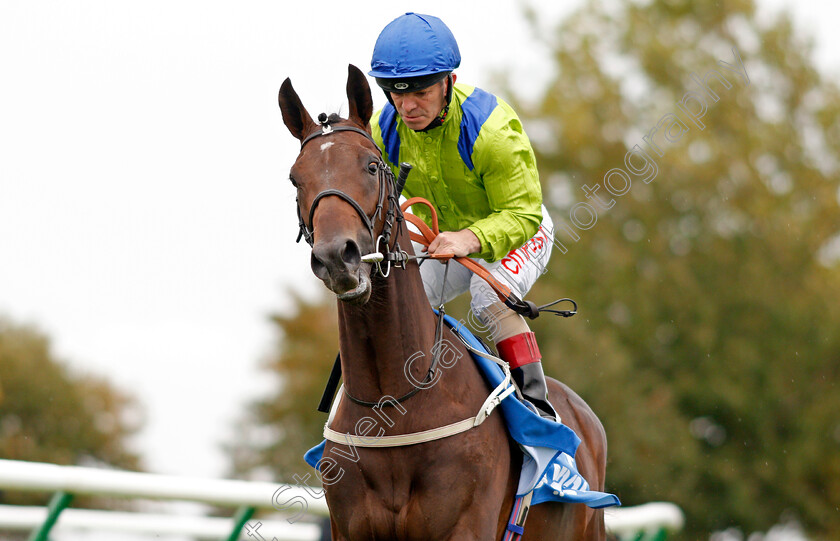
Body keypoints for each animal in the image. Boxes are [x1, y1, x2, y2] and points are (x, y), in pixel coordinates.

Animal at [278, 64, 608, 540]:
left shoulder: (464, 526)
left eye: (372, 165)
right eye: (295, 178)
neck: (394, 403)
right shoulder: (348, 528)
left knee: (494, 300)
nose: (337, 257)